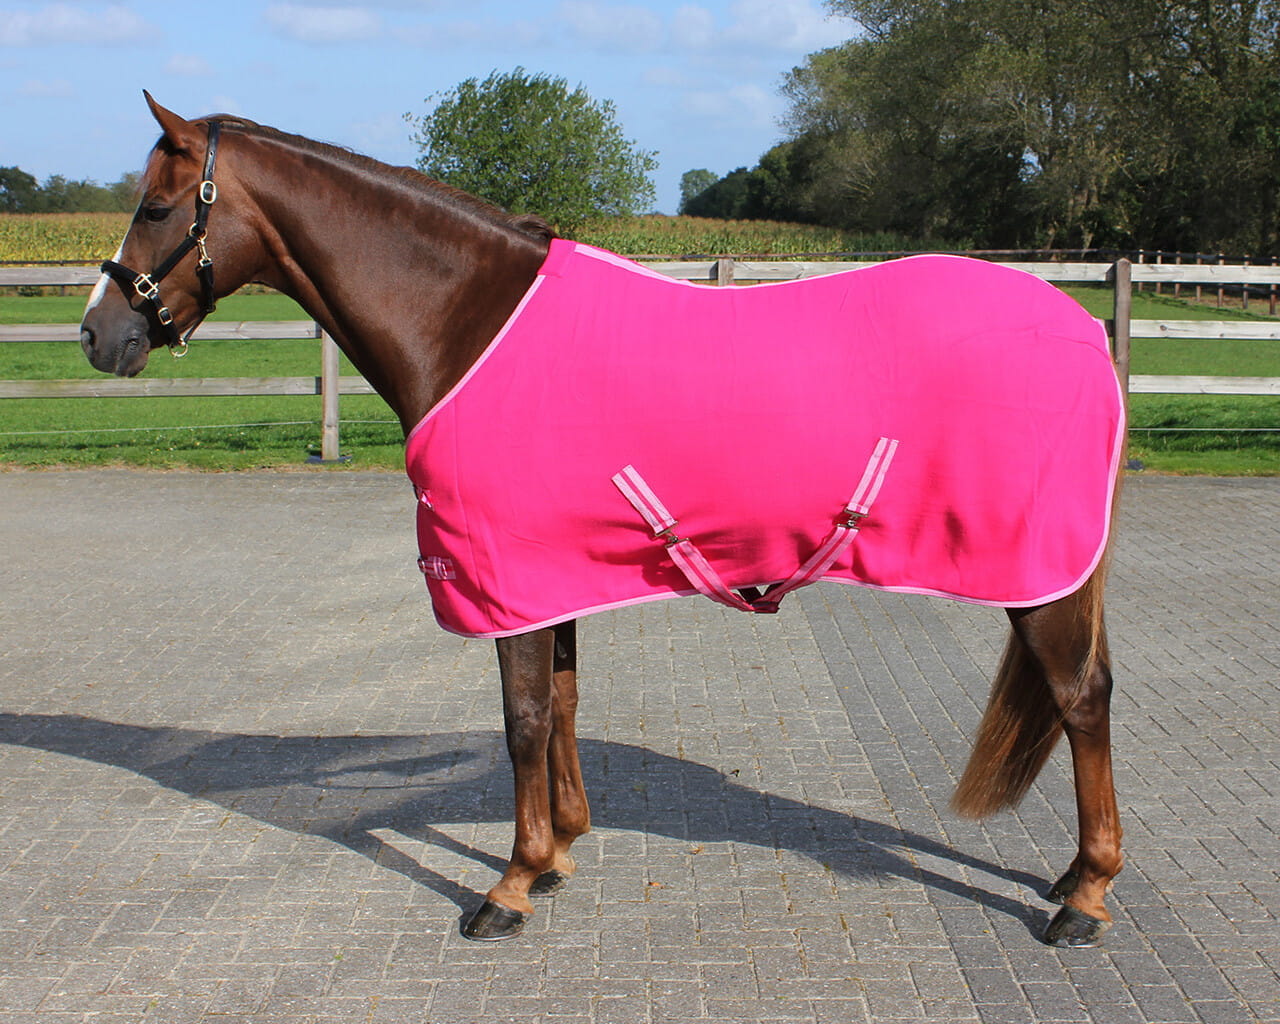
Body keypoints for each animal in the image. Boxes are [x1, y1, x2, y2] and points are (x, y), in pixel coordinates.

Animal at [79, 93, 1124, 947]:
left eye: (156, 208)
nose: (98, 336)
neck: (468, 319)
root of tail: (1082, 328)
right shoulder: (549, 575)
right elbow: (565, 703)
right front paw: (557, 856)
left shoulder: (500, 575)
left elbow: (522, 720)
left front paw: (506, 887)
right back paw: (1074, 877)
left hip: (1039, 573)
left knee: (1080, 699)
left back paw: (1084, 898)